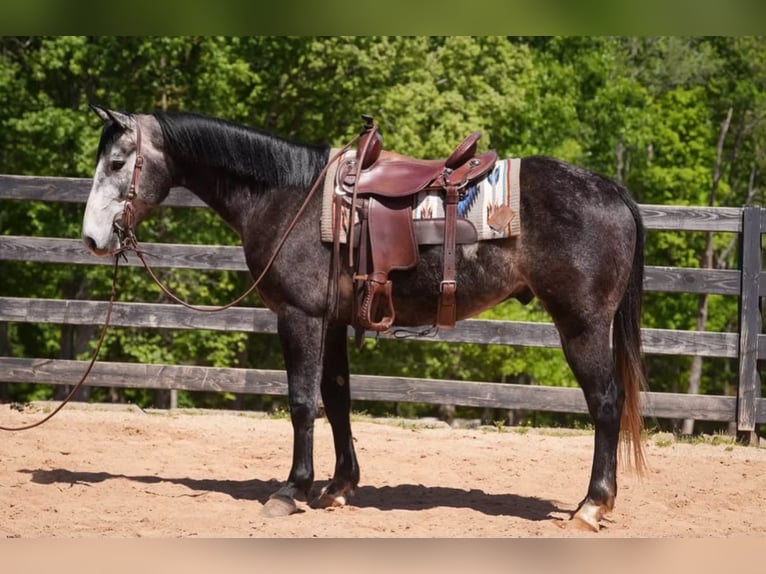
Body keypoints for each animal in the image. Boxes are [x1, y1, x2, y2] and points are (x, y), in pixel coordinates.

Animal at [81, 104, 646, 531]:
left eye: (117, 162)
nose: (92, 239)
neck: (287, 196)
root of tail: (610, 190)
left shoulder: (300, 317)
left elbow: (302, 403)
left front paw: (291, 489)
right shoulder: (331, 322)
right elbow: (337, 399)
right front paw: (338, 486)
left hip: (582, 326)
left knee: (605, 402)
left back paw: (592, 505)